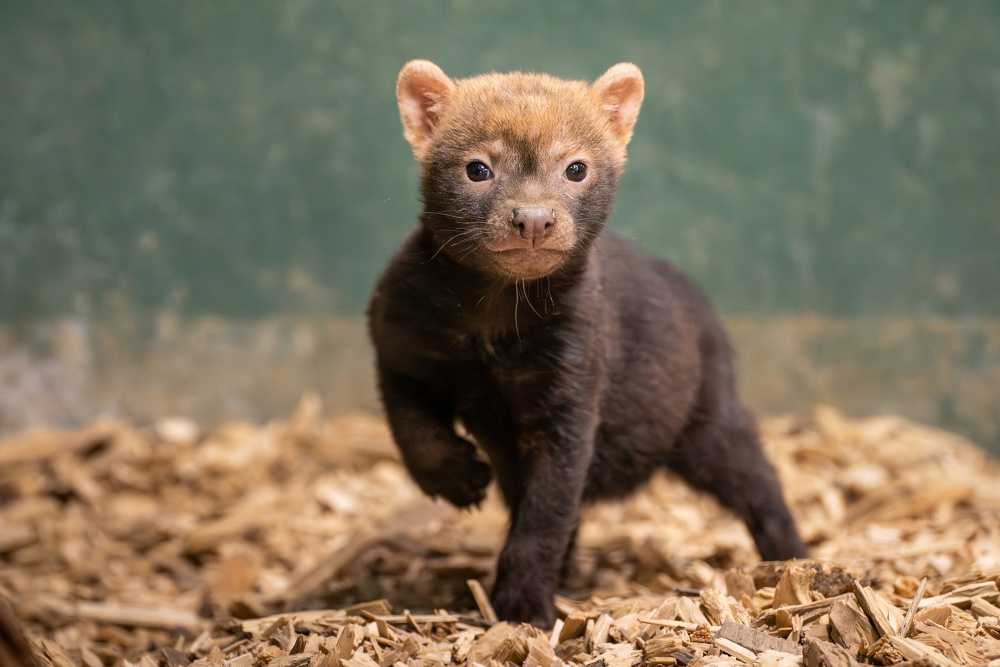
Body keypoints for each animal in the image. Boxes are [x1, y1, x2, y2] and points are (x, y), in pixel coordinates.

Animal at [366, 60, 804, 628]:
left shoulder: (570, 399)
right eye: (477, 168)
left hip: (709, 426)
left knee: (762, 482)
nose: (533, 219)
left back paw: (794, 562)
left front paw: (522, 608)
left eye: (576, 168)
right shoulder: (401, 349)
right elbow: (414, 431)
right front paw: (461, 480)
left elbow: (544, 516)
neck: (493, 322)